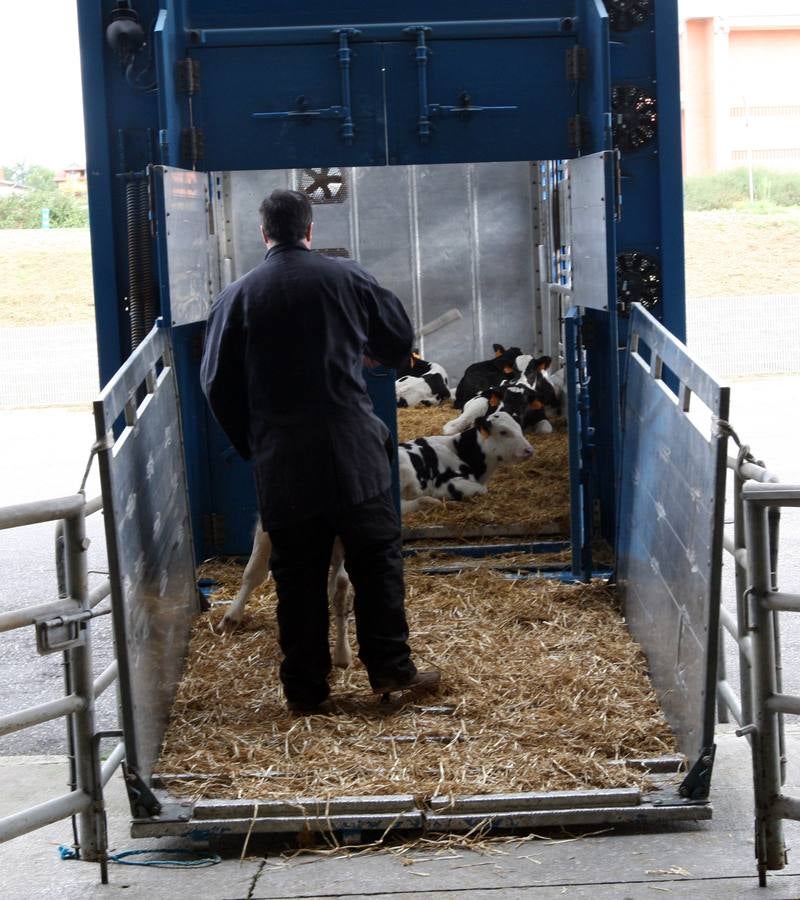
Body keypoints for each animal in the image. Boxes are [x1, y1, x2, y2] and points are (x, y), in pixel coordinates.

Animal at [398, 410, 532, 512]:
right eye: (503, 432)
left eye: (520, 428)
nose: (529, 450)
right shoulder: (446, 484)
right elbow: (482, 490)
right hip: (406, 470)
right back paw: (430, 502)